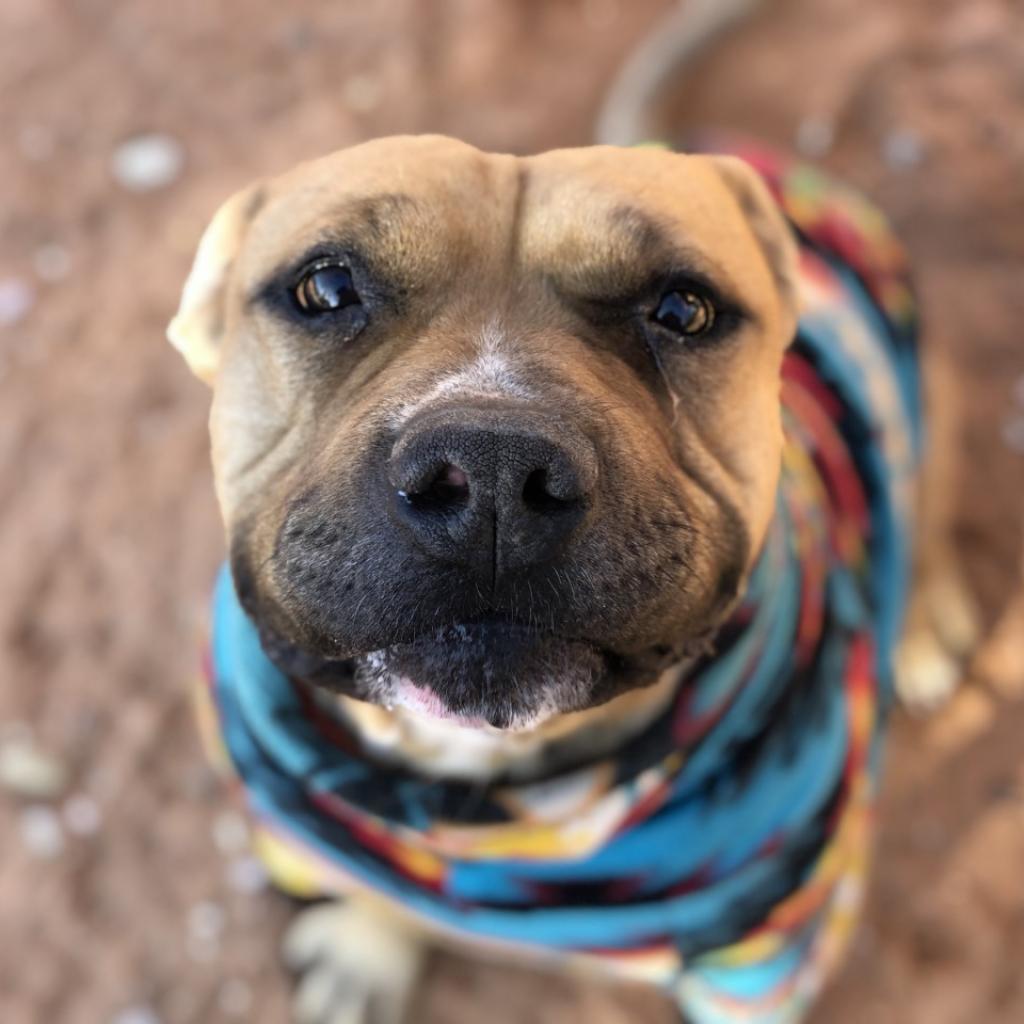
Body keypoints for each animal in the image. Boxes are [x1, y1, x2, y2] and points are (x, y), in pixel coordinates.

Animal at [172, 136, 978, 1024]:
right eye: (326, 289)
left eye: (683, 310)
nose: (490, 469)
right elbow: (374, 891)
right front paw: (368, 946)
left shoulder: (766, 961)